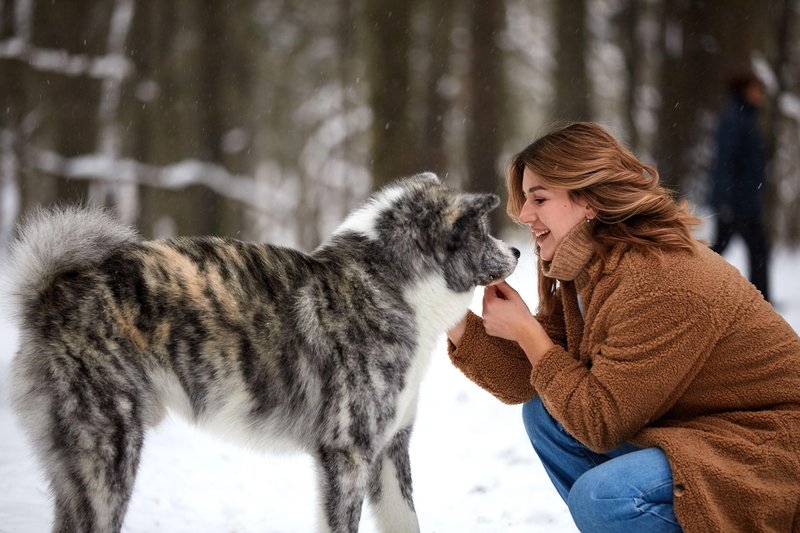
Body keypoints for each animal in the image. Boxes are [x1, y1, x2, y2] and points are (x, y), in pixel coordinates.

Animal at [7, 172, 520, 528]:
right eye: (480, 230)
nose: (517, 252)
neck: (392, 284)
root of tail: (52, 290)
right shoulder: (348, 457)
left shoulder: (390, 453)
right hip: (106, 456)